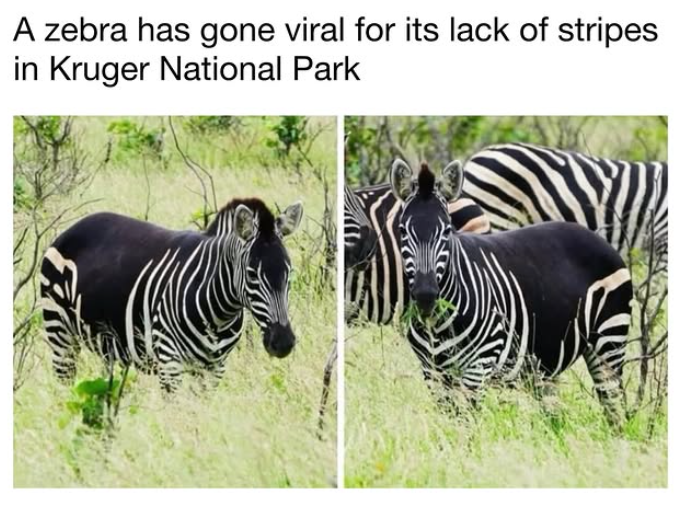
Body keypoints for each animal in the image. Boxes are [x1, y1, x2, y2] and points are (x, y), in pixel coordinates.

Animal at [40, 198, 303, 392]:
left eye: (289, 273)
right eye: (251, 274)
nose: (283, 343)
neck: (219, 314)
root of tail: (76, 225)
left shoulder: (214, 368)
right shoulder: (169, 361)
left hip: (106, 344)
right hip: (60, 333)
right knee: (65, 384)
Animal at [390, 158, 633, 427]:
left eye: (447, 231)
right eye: (402, 230)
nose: (426, 296)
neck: (437, 324)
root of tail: (596, 237)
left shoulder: (478, 366)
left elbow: (467, 425)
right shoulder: (433, 372)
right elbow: (449, 424)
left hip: (609, 341)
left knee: (613, 406)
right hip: (547, 365)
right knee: (556, 419)